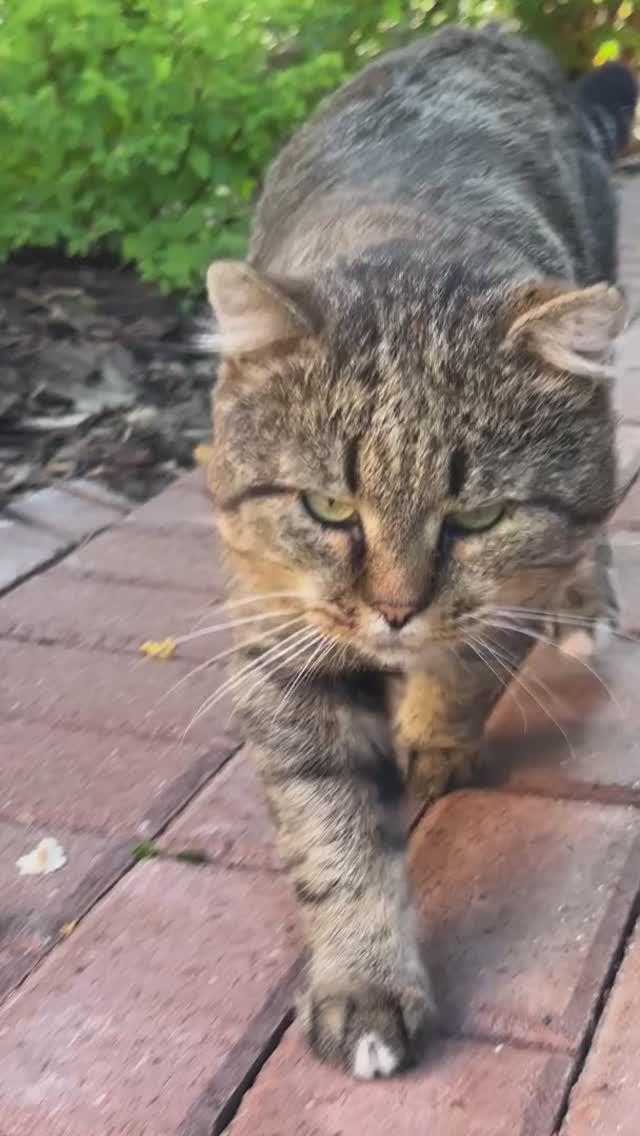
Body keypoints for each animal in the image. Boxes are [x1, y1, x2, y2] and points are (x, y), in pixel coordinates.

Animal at [202, 22, 636, 1076]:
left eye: (475, 519)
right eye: (327, 506)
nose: (396, 610)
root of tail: (490, 31)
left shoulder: (509, 585)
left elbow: (468, 672)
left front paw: (432, 738)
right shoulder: (281, 639)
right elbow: (335, 833)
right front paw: (363, 982)